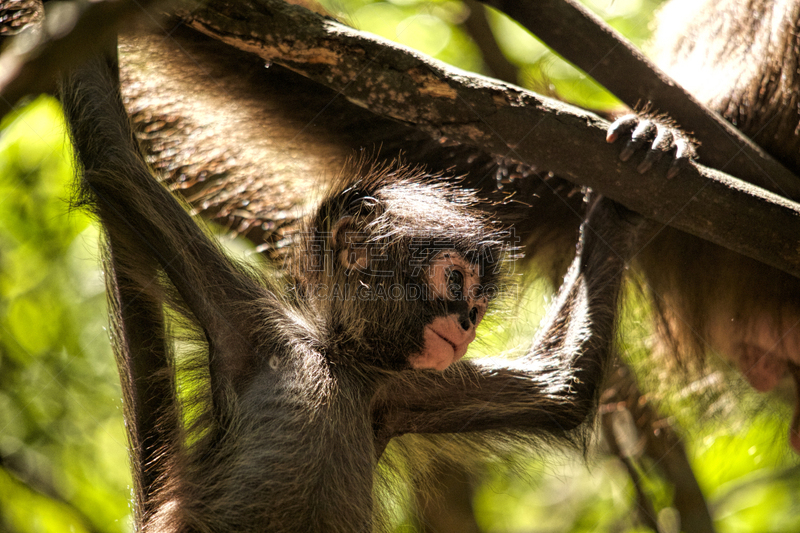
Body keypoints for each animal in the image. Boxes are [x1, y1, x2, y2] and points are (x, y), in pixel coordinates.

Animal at [64, 47, 644, 528]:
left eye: (480, 304)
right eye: (456, 280)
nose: (466, 323)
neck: (335, 359)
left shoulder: (394, 388)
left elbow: (562, 386)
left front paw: (637, 169)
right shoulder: (245, 319)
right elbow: (113, 158)